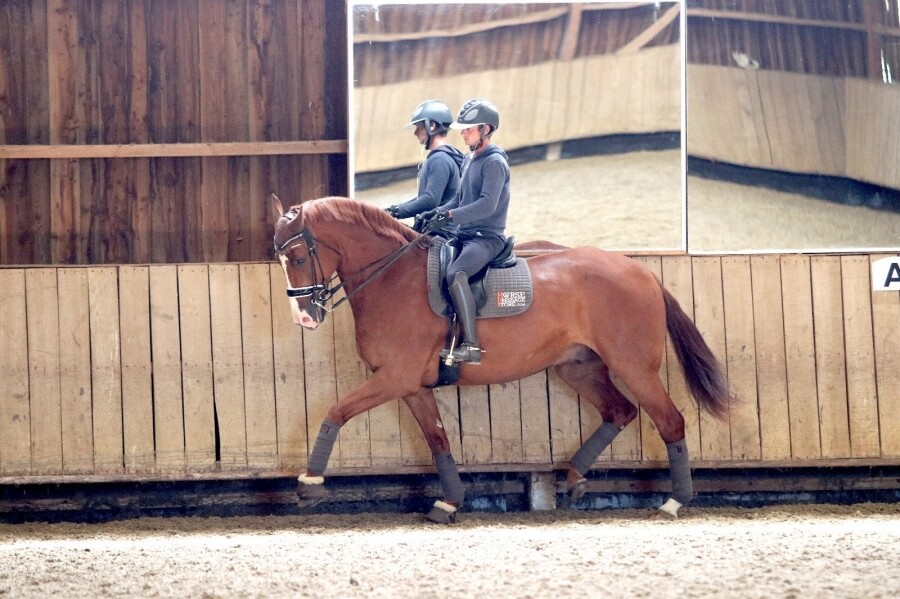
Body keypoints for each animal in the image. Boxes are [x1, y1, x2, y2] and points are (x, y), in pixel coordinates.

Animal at [271, 195, 735, 523]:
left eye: (298, 257)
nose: (304, 316)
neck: (393, 278)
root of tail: (641, 271)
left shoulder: (394, 378)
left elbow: (335, 411)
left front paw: (309, 483)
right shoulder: (413, 386)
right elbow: (438, 440)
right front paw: (448, 503)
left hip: (634, 367)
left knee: (670, 421)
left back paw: (674, 501)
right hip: (579, 367)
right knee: (619, 412)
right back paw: (574, 478)